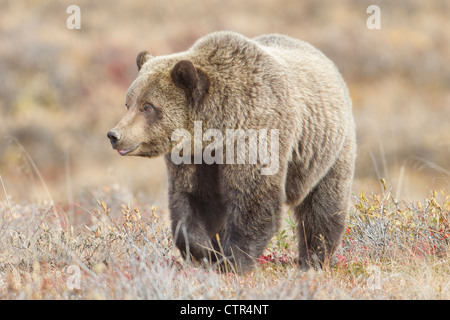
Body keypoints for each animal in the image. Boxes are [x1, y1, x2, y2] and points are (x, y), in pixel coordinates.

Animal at [108, 31, 356, 274]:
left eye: (148, 107)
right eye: (128, 103)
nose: (114, 135)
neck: (216, 131)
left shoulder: (255, 135)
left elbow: (254, 199)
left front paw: (233, 262)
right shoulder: (194, 157)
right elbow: (193, 200)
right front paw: (204, 251)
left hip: (327, 150)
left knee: (322, 207)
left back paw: (314, 260)